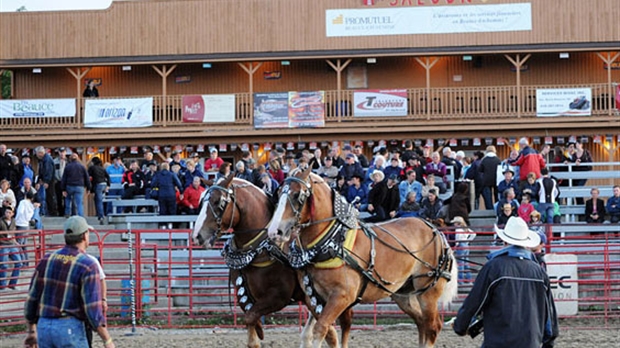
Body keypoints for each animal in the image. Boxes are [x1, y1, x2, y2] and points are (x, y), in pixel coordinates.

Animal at [191, 175, 340, 348]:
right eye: (202, 201)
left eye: (218, 202)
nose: (197, 236)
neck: (261, 249)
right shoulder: (245, 299)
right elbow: (251, 326)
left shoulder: (278, 296)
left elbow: (251, 318)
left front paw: (260, 331)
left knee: (329, 333)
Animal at [268, 167, 460, 346]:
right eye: (279, 193)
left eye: (297, 195)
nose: (275, 231)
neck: (331, 241)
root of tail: (436, 231)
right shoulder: (313, 297)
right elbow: (322, 334)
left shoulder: (342, 296)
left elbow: (321, 330)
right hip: (403, 294)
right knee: (421, 323)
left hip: (428, 292)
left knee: (432, 327)